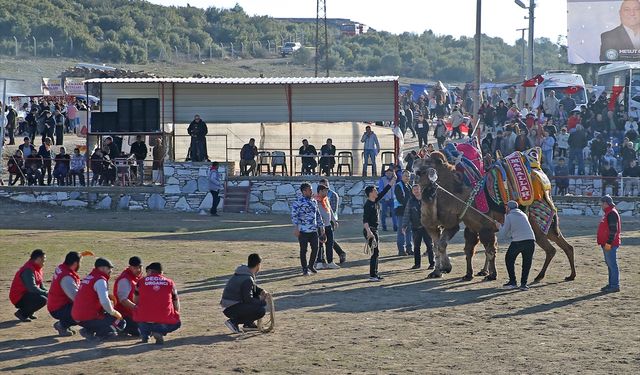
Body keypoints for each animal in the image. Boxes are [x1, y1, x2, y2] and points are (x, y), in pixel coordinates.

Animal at [412, 151, 576, 284]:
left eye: (428, 161)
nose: (414, 161)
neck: (464, 197)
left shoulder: (483, 227)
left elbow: (489, 250)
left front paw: (491, 275)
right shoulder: (471, 227)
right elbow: (467, 250)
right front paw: (465, 274)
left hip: (538, 227)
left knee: (551, 249)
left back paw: (540, 276)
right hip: (548, 227)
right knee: (565, 246)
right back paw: (569, 275)